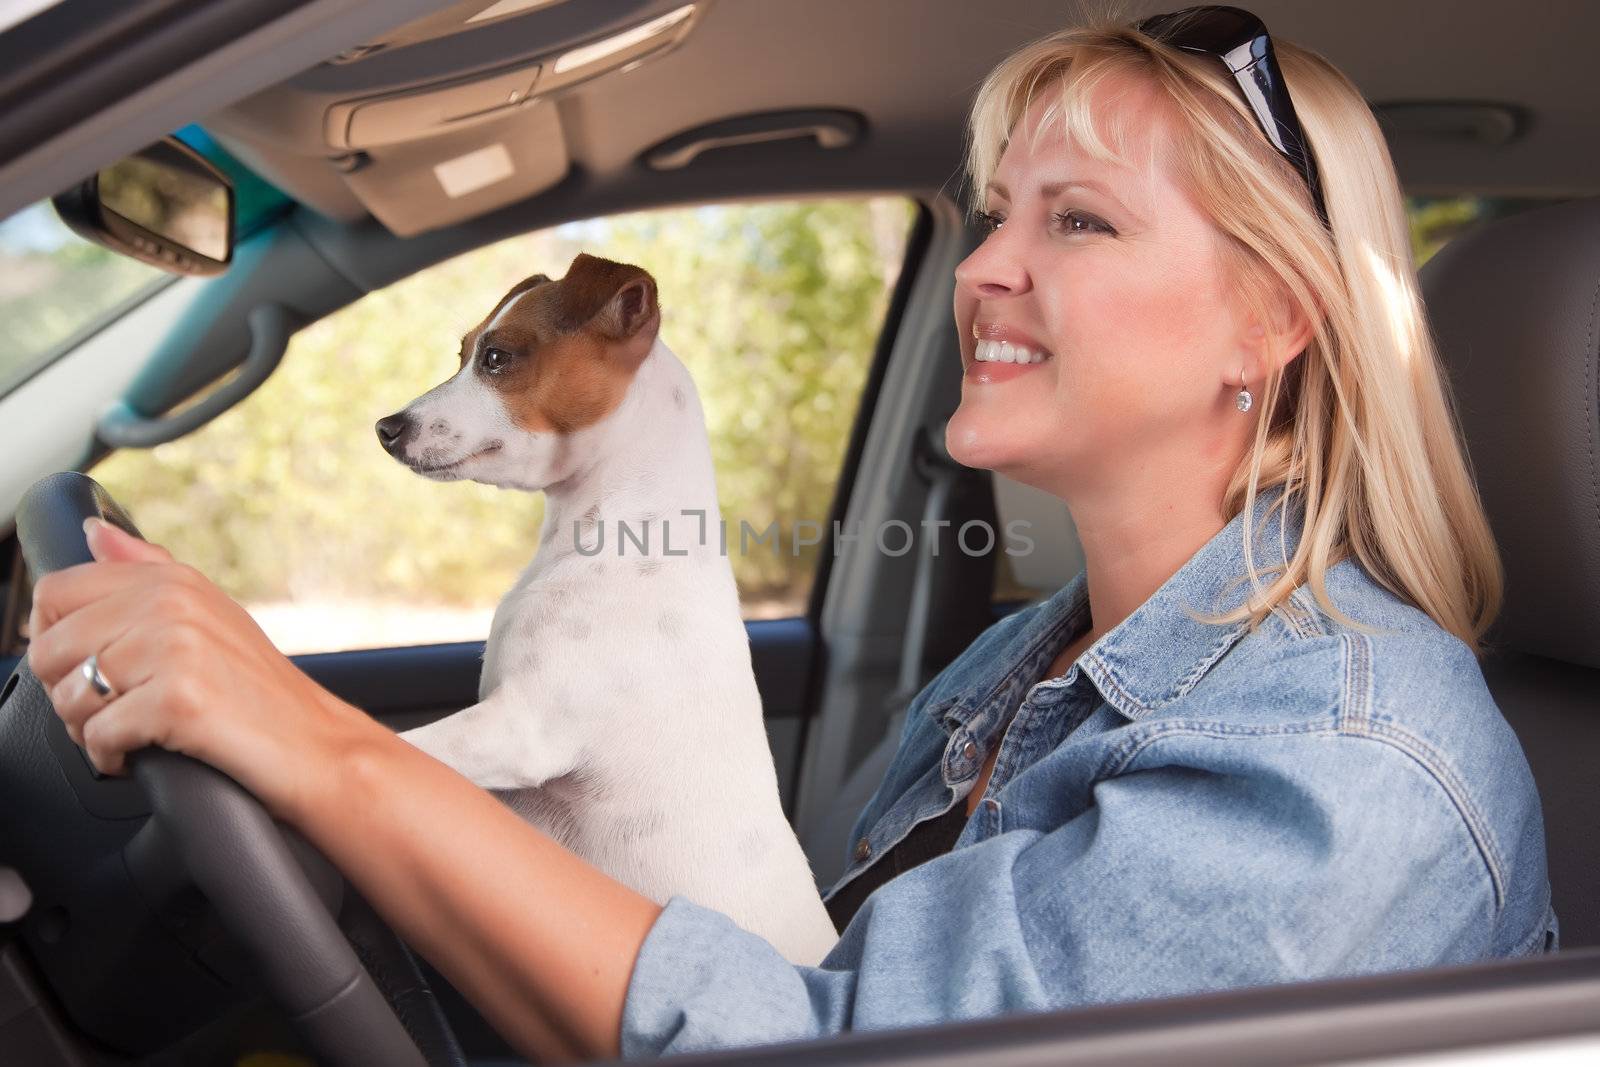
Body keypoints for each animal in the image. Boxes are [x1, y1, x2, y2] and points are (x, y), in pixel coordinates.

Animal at [372, 252, 844, 966]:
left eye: (497, 358)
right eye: (463, 352)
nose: (385, 428)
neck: (613, 530)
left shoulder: (520, 729)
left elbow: (406, 744)